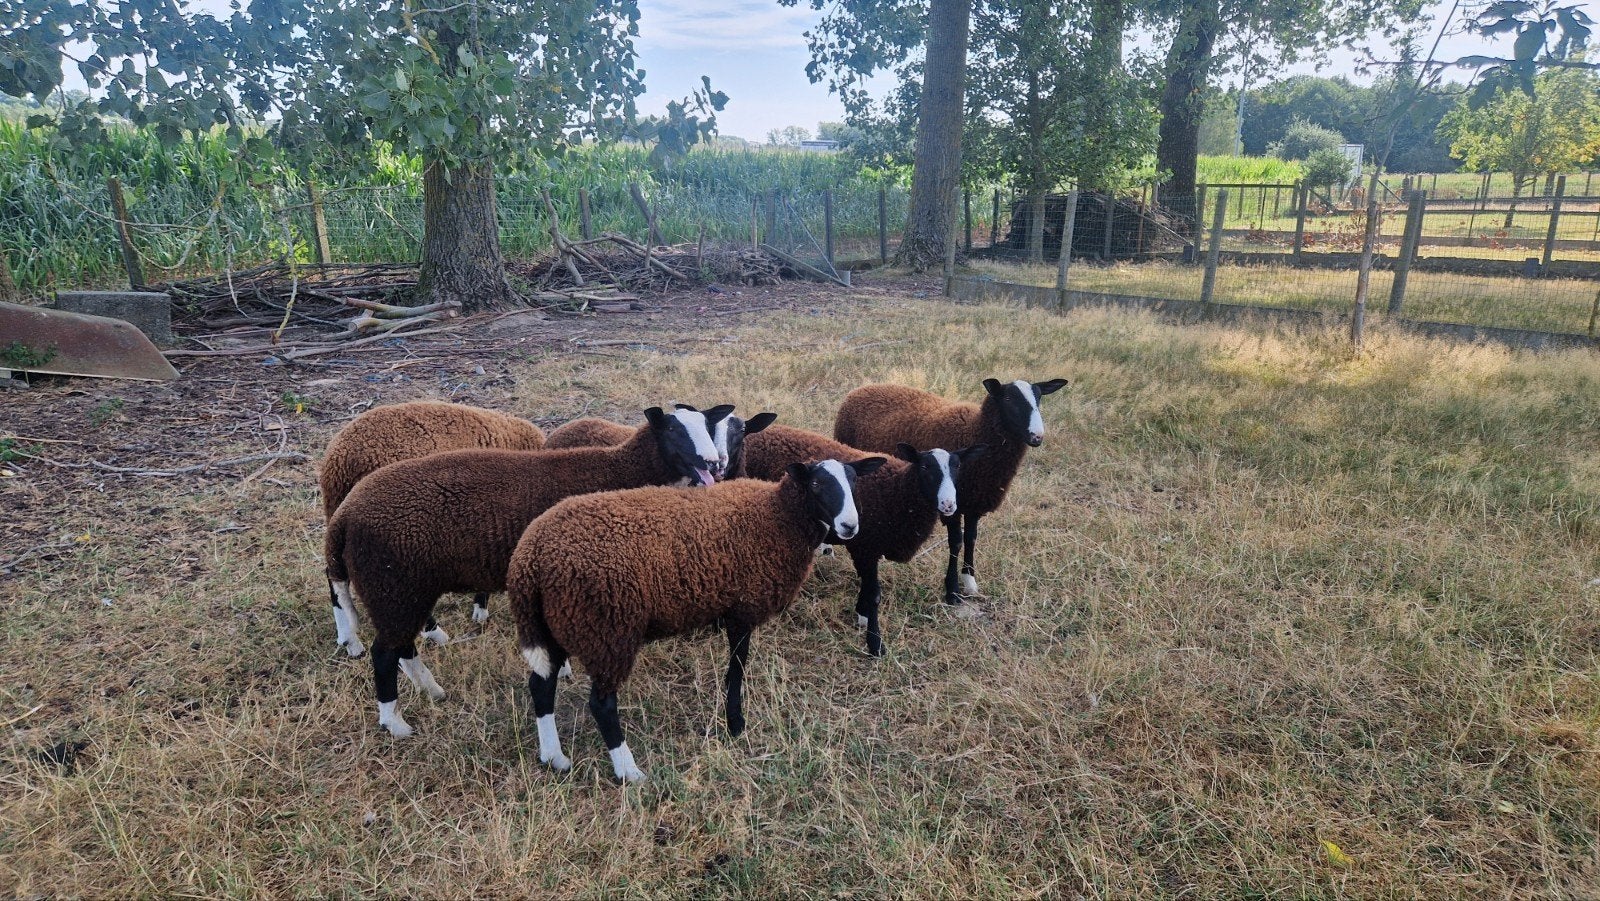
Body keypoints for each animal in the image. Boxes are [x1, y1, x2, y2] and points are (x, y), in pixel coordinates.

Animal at [320, 401, 547, 655]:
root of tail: (340, 462)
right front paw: (480, 610)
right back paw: (435, 634)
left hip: (339, 517)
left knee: (333, 574)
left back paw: (350, 641)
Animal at [508, 456, 886, 782]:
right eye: (818, 484)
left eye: (854, 481)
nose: (850, 526)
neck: (777, 516)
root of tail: (530, 558)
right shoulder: (743, 608)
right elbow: (738, 666)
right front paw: (735, 723)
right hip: (607, 631)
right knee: (601, 704)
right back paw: (628, 771)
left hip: (558, 624)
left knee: (541, 685)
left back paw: (553, 757)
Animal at [742, 424, 985, 656]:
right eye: (925, 467)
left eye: (957, 467)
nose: (948, 504)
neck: (897, 491)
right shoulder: (866, 547)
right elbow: (874, 594)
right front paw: (875, 644)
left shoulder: (866, 548)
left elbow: (867, 587)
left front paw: (862, 615)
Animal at [834, 378, 1068, 605]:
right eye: (1009, 398)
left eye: (1039, 398)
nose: (1037, 437)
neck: (976, 431)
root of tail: (863, 388)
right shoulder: (952, 505)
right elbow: (956, 541)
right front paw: (952, 590)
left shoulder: (975, 501)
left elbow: (971, 538)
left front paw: (970, 581)